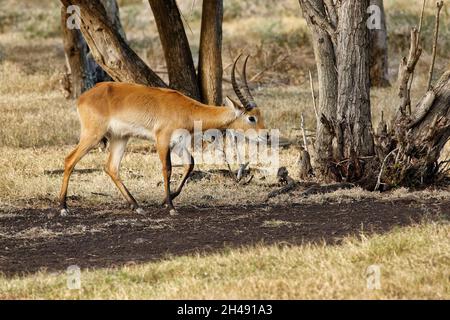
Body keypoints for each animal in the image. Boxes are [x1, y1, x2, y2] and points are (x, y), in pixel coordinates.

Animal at [58, 55, 266, 216]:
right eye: (251, 118)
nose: (266, 137)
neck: (187, 110)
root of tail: (83, 97)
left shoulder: (178, 143)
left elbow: (190, 164)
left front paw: (166, 200)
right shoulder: (162, 140)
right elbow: (167, 169)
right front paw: (171, 207)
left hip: (120, 137)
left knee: (111, 167)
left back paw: (137, 206)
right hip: (93, 135)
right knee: (70, 159)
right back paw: (63, 208)